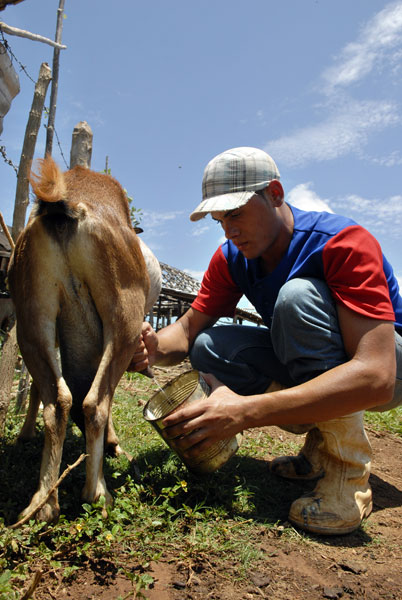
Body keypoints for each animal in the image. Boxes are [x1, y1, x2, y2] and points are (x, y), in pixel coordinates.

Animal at [5, 157, 160, 524]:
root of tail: (66, 205)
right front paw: (113, 446)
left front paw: (24, 435)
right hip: (123, 320)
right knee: (94, 402)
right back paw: (97, 493)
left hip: (32, 316)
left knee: (58, 401)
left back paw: (43, 503)